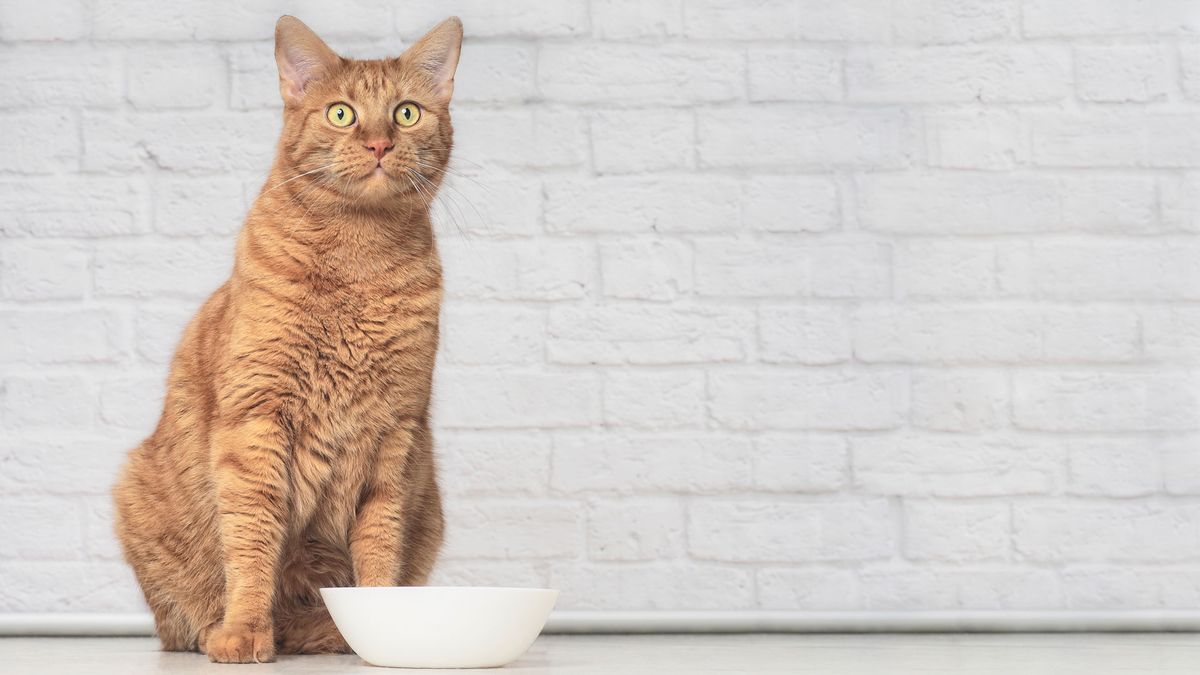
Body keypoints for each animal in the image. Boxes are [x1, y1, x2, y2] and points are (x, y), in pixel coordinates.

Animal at [112, 15, 460, 662]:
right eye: (342, 114)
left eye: (405, 113)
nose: (379, 144)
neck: (358, 261)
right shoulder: (256, 421)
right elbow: (253, 538)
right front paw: (246, 630)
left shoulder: (395, 435)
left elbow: (380, 545)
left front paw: (384, 628)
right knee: (185, 623)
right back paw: (226, 629)